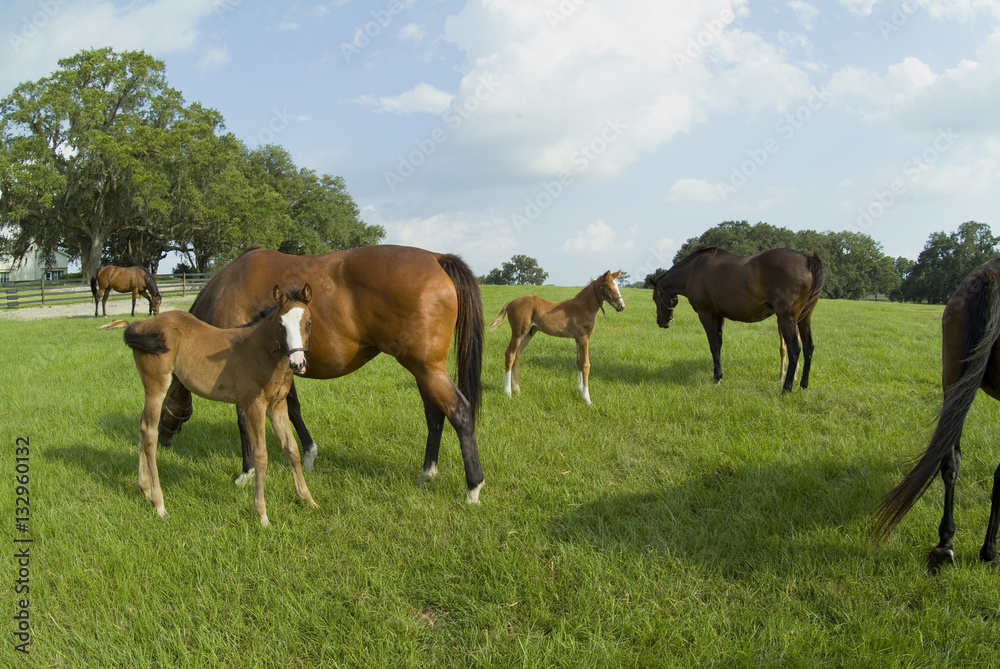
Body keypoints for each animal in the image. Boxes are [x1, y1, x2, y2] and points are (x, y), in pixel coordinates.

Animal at [123, 284, 316, 524]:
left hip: (169, 383)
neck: (261, 352)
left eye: (308, 323)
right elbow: (261, 456)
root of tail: (142, 325)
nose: (298, 363)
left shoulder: (277, 406)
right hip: (156, 385)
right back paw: (159, 504)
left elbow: (291, 450)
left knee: (142, 424)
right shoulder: (254, 406)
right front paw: (262, 515)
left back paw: (144, 488)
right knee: (149, 433)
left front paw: (308, 500)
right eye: (281, 324)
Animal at [155, 248, 488, 504]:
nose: (161, 438)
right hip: (424, 370)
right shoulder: (282, 366)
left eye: (162, 405)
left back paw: (473, 488)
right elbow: (293, 409)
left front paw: (245, 473)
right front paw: (309, 454)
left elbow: (244, 423)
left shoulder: (245, 377)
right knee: (435, 414)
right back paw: (426, 472)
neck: (227, 288)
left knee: (459, 412)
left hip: (427, 369)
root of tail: (436, 258)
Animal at [486, 268, 620, 404]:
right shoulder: (583, 338)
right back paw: (508, 392)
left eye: (618, 286)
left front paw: (579, 389)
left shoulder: (578, 339)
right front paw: (587, 398)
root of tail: (511, 302)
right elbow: (586, 365)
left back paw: (517, 389)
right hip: (518, 333)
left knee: (517, 355)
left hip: (530, 333)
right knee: (510, 354)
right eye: (609, 287)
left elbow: (579, 362)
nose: (621, 306)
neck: (583, 308)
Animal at [652, 247, 824, 392]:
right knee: (809, 347)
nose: (661, 322)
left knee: (794, 349)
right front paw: (719, 375)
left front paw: (716, 376)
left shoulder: (706, 315)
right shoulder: (718, 316)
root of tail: (809, 260)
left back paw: (786, 388)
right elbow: (719, 345)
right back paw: (803, 384)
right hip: (804, 319)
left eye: (655, 298)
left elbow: (713, 346)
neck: (694, 270)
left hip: (786, 319)